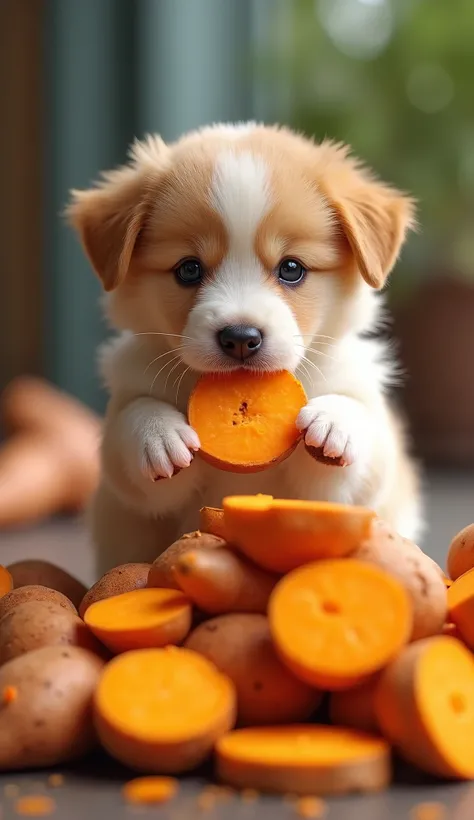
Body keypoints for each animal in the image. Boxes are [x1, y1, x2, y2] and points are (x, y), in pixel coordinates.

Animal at [66, 123, 422, 576]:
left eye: (292, 268)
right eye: (188, 269)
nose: (239, 337)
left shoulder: (354, 475)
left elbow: (356, 435)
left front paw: (334, 423)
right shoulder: (129, 460)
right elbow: (135, 426)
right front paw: (158, 434)